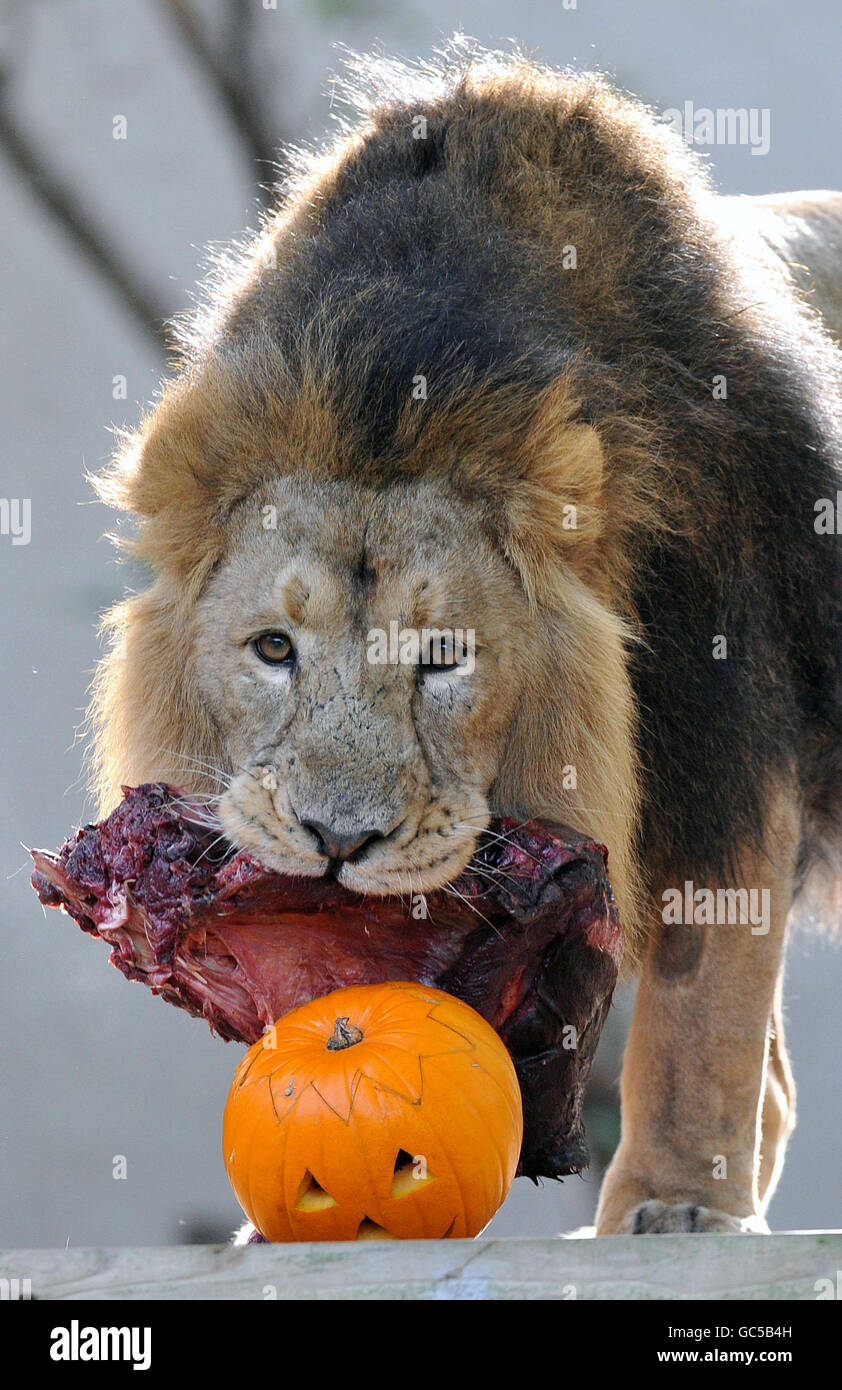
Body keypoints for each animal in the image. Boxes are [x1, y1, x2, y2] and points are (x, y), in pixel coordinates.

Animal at [88, 46, 842, 1239]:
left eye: (445, 658)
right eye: (272, 650)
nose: (336, 840)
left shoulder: (722, 718)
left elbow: (703, 991)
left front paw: (680, 1201)